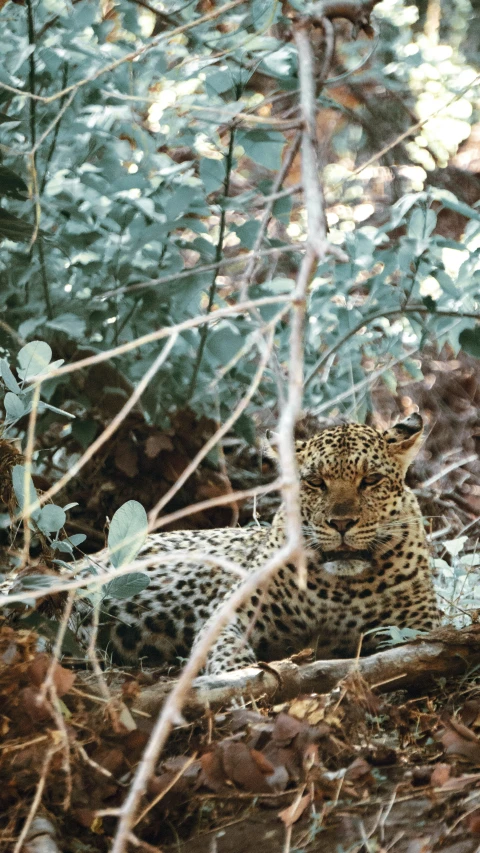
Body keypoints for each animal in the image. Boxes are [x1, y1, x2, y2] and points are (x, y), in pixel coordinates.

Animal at [88, 412, 440, 672]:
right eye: (315, 482)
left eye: (371, 480)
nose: (341, 524)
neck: (340, 592)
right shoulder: (230, 615)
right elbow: (227, 653)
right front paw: (239, 683)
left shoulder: (419, 625)